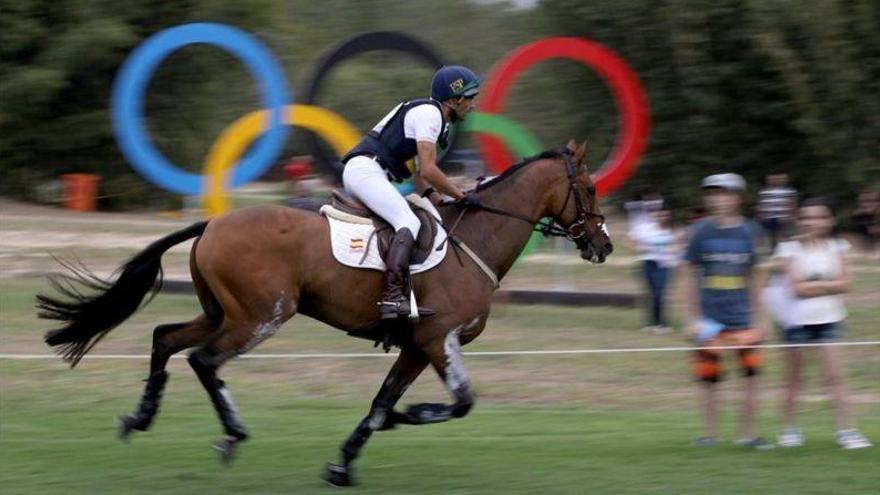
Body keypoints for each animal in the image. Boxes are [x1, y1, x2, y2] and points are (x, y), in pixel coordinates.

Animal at [36, 139, 612, 484]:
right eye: (588, 187)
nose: (603, 245)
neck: (475, 242)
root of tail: (213, 223)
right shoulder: (437, 340)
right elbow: (460, 403)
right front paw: (408, 417)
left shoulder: (415, 347)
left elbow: (380, 403)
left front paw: (343, 463)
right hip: (261, 315)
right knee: (204, 360)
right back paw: (232, 435)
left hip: (222, 311)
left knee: (165, 338)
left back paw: (140, 417)